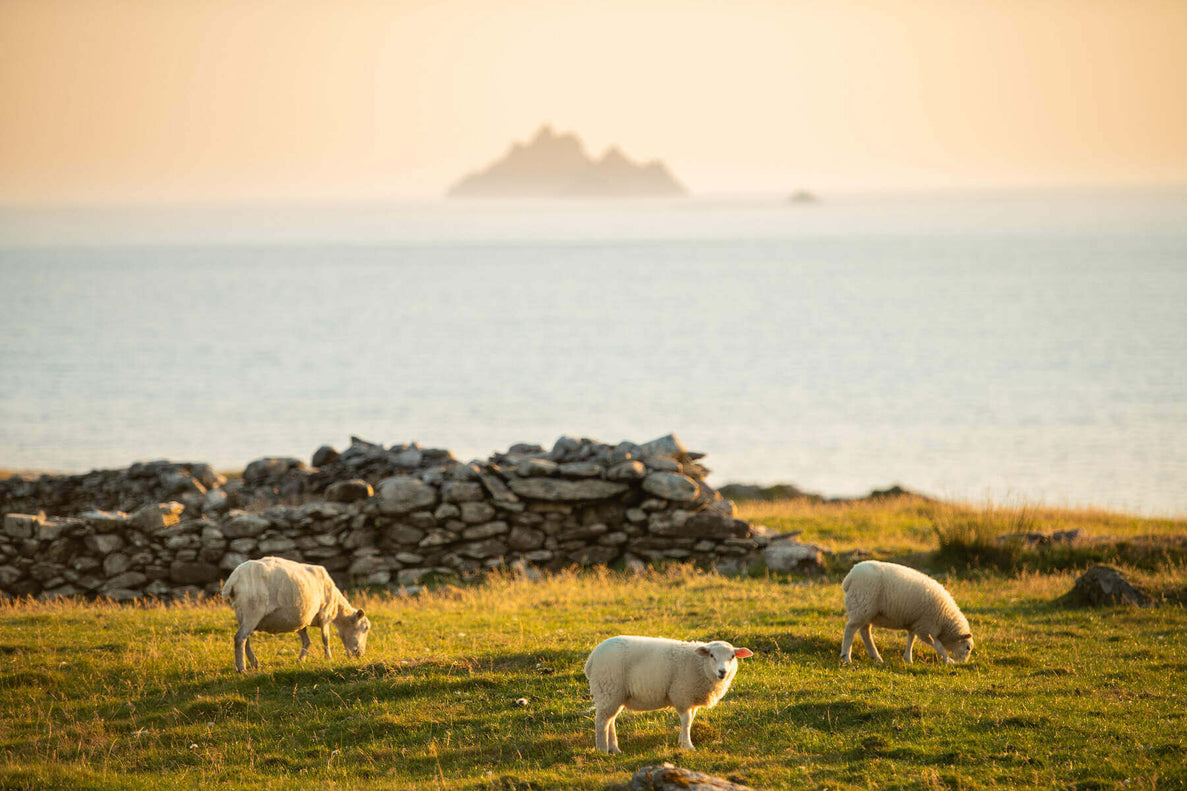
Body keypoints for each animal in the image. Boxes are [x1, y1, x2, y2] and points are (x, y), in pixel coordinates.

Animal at [221, 556, 370, 673]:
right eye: (365, 628)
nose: (359, 654)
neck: (337, 607)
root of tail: (233, 580)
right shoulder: (325, 614)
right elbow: (325, 639)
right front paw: (328, 658)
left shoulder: (300, 620)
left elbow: (306, 640)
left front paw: (301, 660)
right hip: (253, 610)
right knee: (240, 638)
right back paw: (241, 668)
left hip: (241, 613)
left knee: (246, 640)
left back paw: (254, 663)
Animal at [583, 635, 754, 753]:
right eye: (712, 655)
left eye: (732, 657)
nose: (722, 672)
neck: (699, 665)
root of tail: (591, 659)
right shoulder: (682, 695)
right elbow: (686, 720)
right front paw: (688, 745)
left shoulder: (691, 698)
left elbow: (690, 720)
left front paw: (681, 742)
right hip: (608, 688)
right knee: (601, 721)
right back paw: (602, 749)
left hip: (614, 695)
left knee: (609, 720)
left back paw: (614, 749)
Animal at [840, 560, 973, 666]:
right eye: (968, 648)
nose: (963, 663)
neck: (945, 620)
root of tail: (849, 577)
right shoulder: (926, 628)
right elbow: (938, 645)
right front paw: (949, 660)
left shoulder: (916, 623)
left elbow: (911, 639)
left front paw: (908, 659)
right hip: (862, 605)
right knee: (850, 629)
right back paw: (846, 657)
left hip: (867, 611)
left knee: (865, 631)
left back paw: (876, 657)